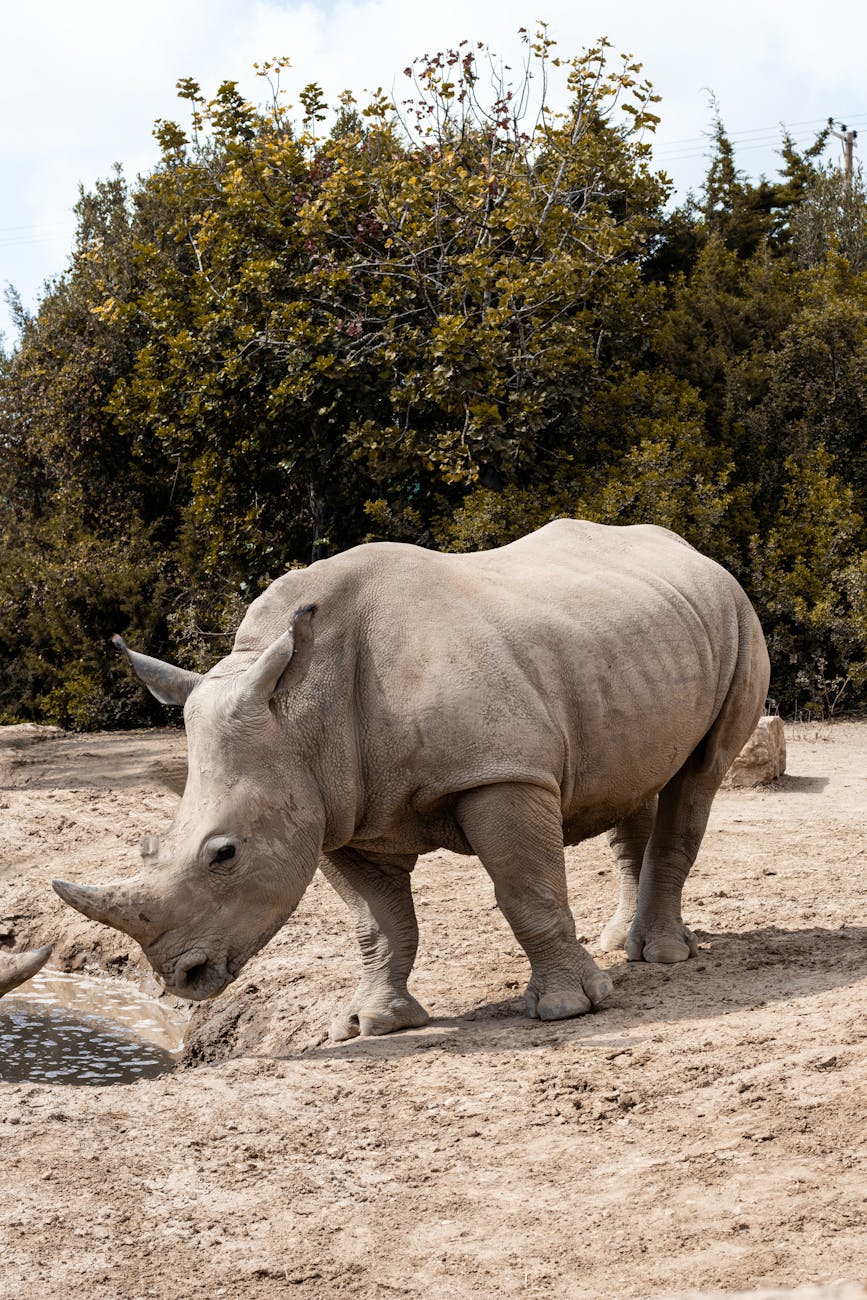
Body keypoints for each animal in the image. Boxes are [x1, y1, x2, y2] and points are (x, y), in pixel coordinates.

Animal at [53, 520, 769, 1038]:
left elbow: (527, 892)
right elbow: (379, 923)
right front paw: (370, 1024)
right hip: (635, 642)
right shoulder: (334, 809)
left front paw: (568, 1009)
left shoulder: (499, 775)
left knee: (699, 777)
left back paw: (661, 957)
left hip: (736, 616)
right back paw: (621, 944)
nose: (182, 977)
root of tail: (695, 553)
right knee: (636, 781)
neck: (301, 715)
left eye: (224, 854)